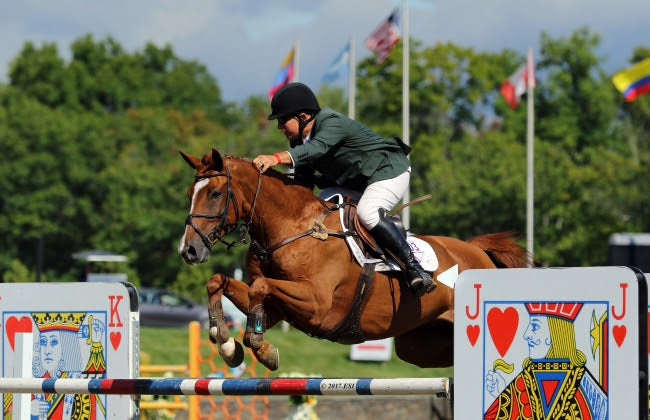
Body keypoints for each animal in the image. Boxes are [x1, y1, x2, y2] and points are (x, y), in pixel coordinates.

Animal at [176, 148, 528, 370]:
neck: (291, 228)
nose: (188, 250)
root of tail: (479, 251)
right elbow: (219, 282)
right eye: (190, 193)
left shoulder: (316, 305)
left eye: (216, 194)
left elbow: (260, 287)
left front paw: (263, 350)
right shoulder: (278, 308)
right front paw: (226, 343)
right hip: (419, 345)